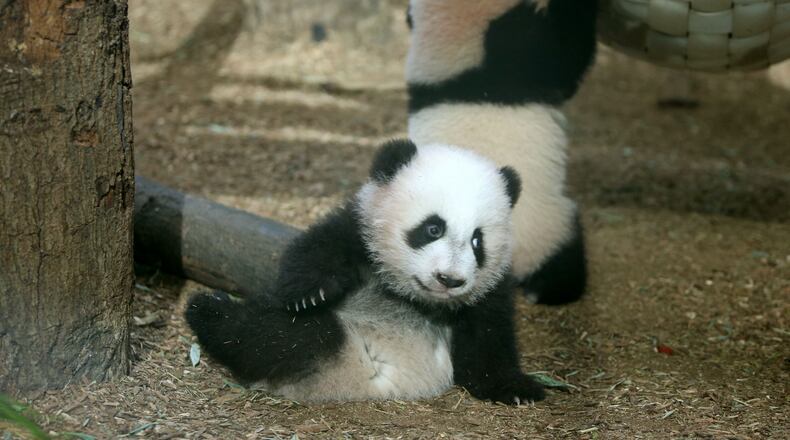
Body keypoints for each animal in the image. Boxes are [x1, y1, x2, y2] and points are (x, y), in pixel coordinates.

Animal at [186, 139, 545, 404]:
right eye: (433, 228)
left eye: (477, 241)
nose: (450, 280)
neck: (413, 297)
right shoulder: (362, 233)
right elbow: (320, 247)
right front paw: (309, 293)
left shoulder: (488, 292)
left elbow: (489, 342)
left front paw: (517, 388)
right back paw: (208, 307)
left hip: (342, 349)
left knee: (281, 336)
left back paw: (212, 310)